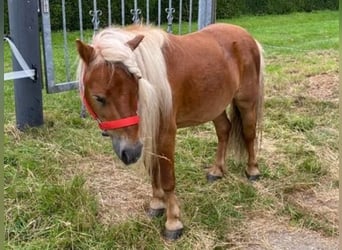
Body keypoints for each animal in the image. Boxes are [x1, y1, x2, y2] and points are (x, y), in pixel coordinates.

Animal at [77, 23, 264, 240]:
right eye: (98, 97)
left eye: (137, 86)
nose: (130, 153)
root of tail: (246, 35)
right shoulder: (148, 136)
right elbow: (153, 171)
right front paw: (157, 204)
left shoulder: (165, 134)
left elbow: (167, 178)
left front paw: (173, 221)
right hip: (215, 106)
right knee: (224, 130)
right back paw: (216, 171)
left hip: (246, 102)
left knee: (249, 134)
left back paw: (252, 170)